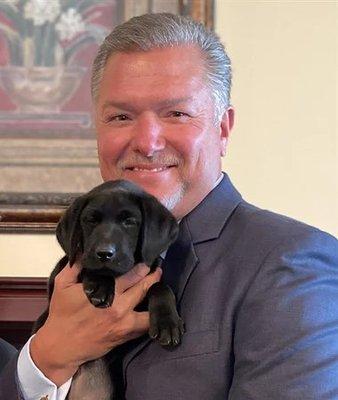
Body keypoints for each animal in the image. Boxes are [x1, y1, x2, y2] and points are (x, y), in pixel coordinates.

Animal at [34, 180, 185, 396]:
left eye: (129, 222)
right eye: (90, 220)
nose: (105, 253)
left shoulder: (148, 275)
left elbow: (160, 286)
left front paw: (168, 322)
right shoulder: (63, 272)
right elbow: (86, 265)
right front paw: (100, 283)